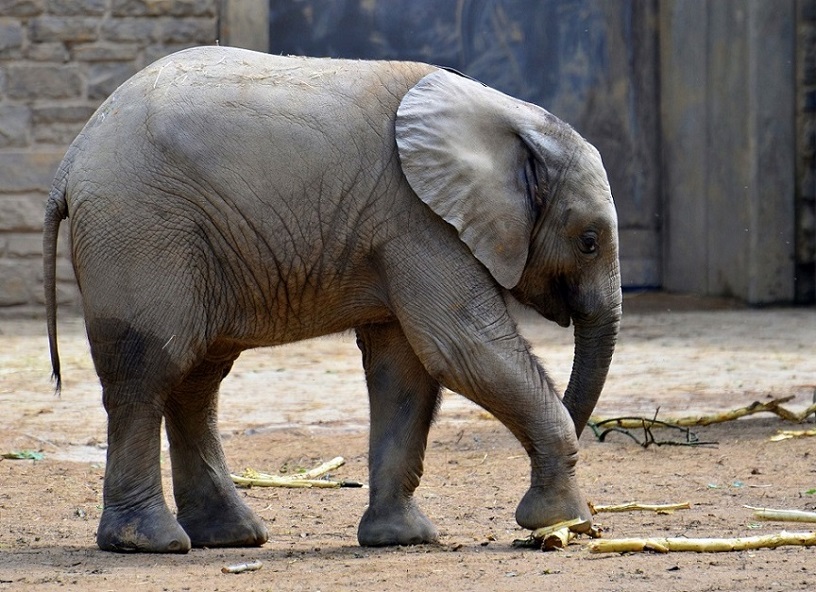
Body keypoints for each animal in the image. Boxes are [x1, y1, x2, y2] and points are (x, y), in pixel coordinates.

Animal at [43, 46, 621, 553]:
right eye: (589, 241)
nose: (559, 533)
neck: (505, 117)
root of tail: (72, 156)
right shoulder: (419, 221)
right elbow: (462, 349)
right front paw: (564, 523)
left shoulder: (402, 229)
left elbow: (405, 372)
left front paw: (401, 539)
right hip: (142, 233)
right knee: (147, 372)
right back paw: (149, 543)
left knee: (196, 381)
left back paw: (230, 536)